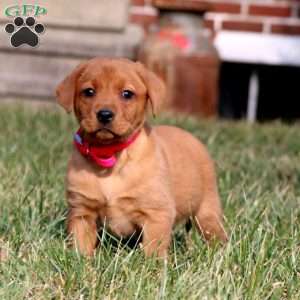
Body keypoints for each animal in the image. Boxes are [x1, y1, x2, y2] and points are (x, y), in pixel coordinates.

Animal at [55, 58, 227, 258]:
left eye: (127, 94)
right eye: (89, 92)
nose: (104, 114)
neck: (110, 155)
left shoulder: (157, 214)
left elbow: (153, 248)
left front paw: (153, 265)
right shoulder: (82, 212)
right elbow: (80, 245)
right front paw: (80, 260)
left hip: (207, 211)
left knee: (215, 233)